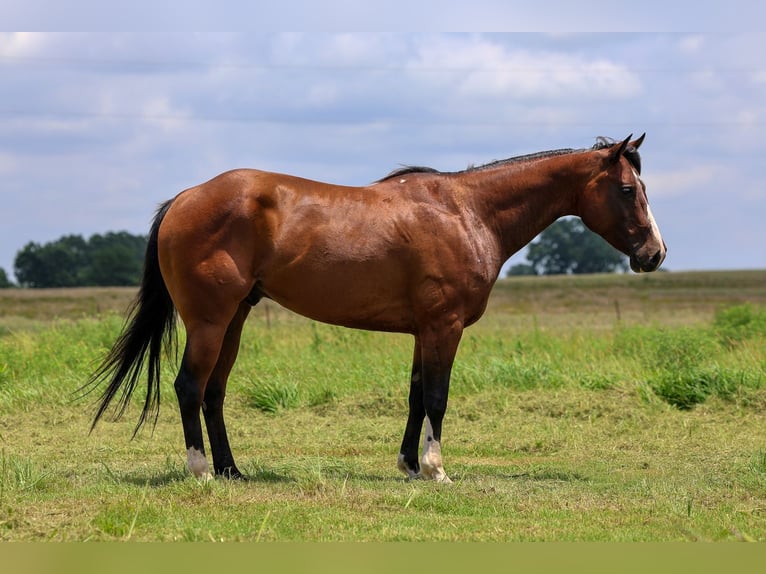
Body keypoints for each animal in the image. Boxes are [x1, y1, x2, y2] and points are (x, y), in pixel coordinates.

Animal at [84, 134, 666, 482]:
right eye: (626, 188)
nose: (654, 254)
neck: (467, 212)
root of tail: (185, 198)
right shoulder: (445, 326)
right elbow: (437, 398)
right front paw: (436, 469)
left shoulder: (423, 330)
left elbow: (414, 396)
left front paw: (409, 465)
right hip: (209, 320)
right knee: (189, 387)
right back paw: (202, 471)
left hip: (236, 319)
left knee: (213, 392)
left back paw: (232, 472)